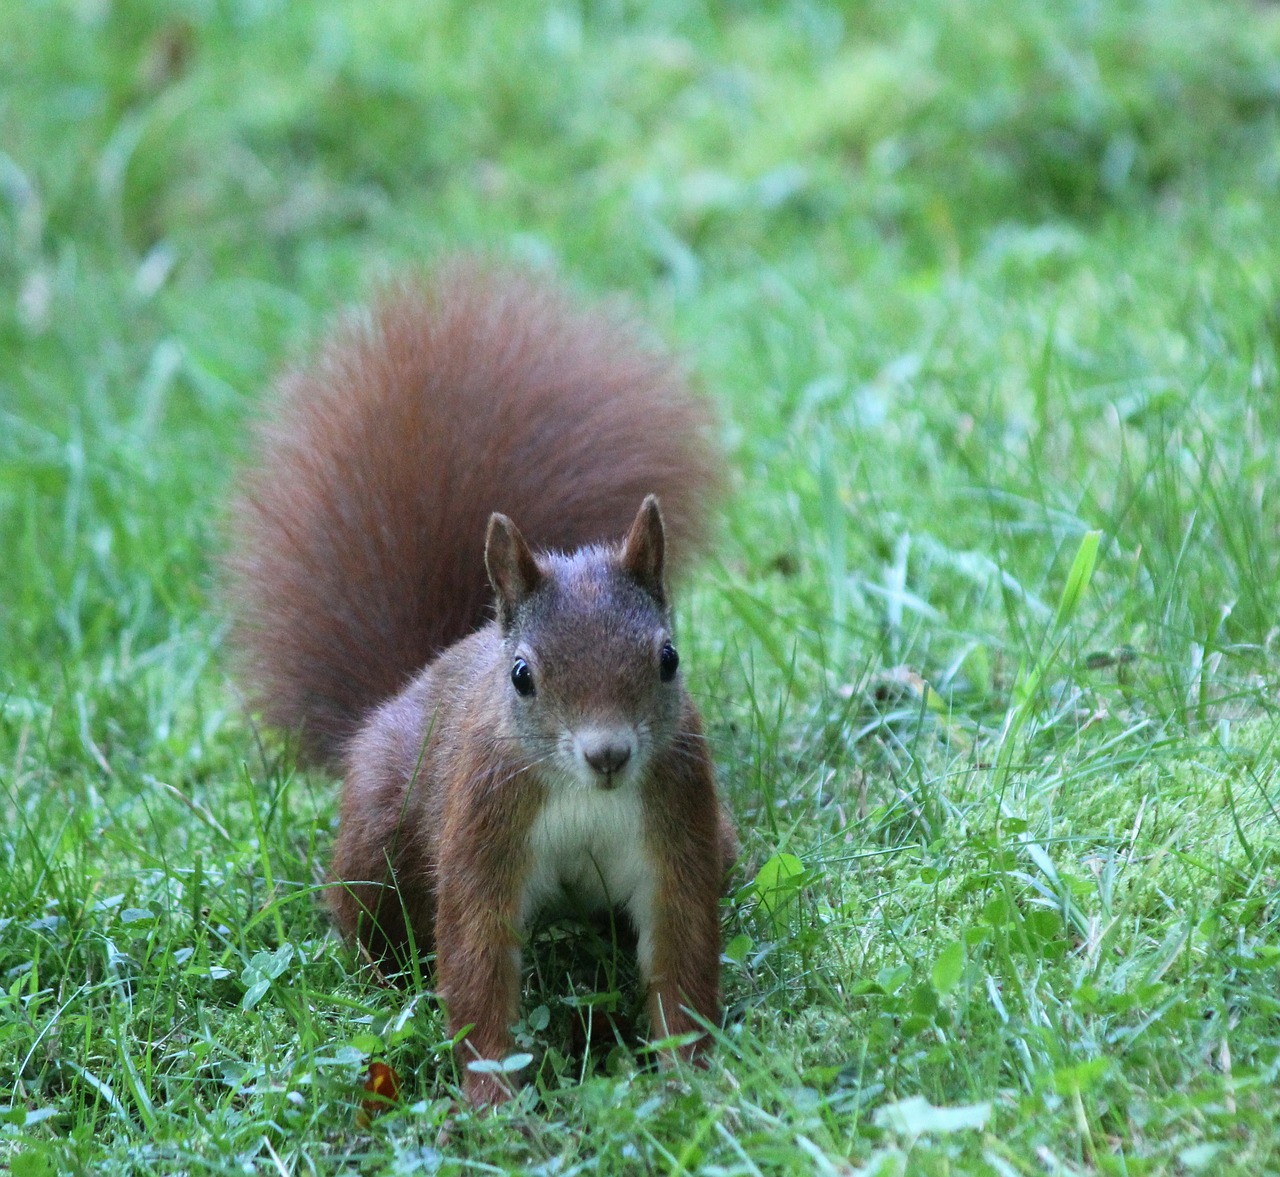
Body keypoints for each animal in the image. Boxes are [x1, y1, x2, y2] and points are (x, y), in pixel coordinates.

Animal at [225, 254, 737, 1105]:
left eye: (668, 658)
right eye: (522, 675)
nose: (609, 755)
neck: (583, 796)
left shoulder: (680, 824)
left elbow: (682, 953)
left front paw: (691, 1078)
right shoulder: (483, 826)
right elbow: (474, 955)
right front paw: (495, 1099)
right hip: (380, 821)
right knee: (362, 913)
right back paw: (379, 981)